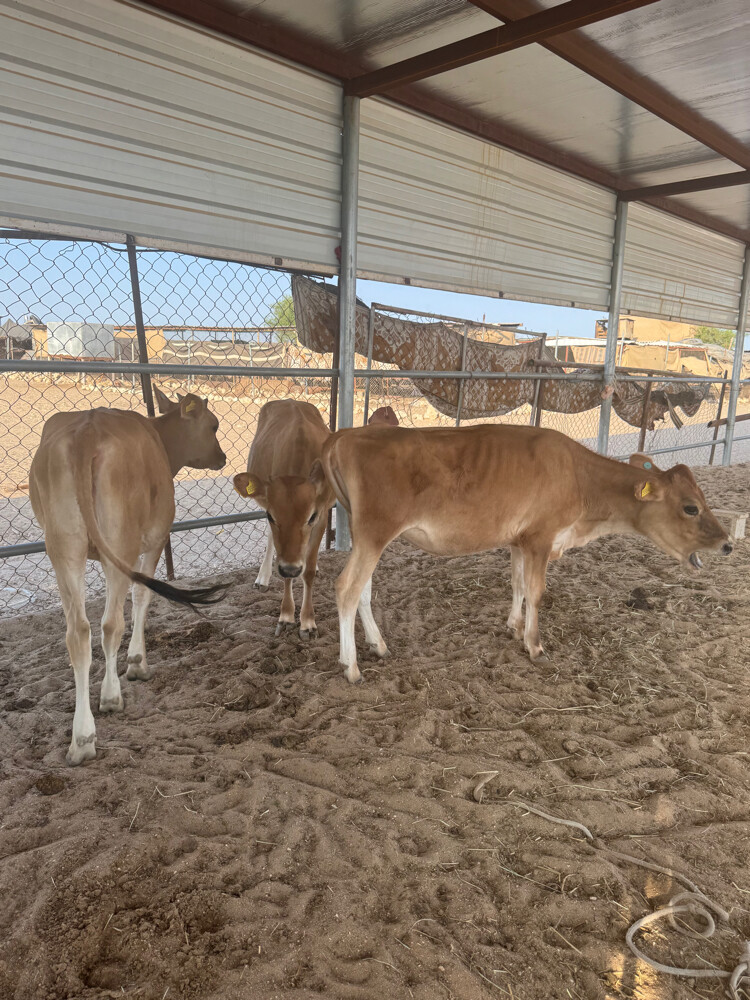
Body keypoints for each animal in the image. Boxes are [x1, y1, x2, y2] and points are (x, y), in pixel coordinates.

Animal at [29, 389, 228, 764]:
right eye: (214, 425)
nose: (222, 457)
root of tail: (87, 429)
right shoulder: (155, 539)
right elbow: (142, 596)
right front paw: (137, 662)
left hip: (63, 548)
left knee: (78, 632)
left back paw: (80, 737)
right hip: (119, 542)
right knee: (110, 624)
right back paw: (109, 699)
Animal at [233, 399, 335, 639]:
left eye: (311, 516)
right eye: (271, 515)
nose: (290, 568)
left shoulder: (323, 513)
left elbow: (308, 571)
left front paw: (308, 622)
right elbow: (284, 565)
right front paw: (287, 616)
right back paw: (263, 578)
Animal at [320, 424, 732, 683]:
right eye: (691, 507)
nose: (728, 543)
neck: (580, 480)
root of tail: (345, 434)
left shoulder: (519, 540)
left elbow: (517, 584)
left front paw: (514, 626)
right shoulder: (540, 538)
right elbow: (536, 592)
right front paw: (535, 645)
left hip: (367, 534)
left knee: (364, 591)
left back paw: (378, 646)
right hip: (375, 532)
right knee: (346, 588)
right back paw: (351, 666)